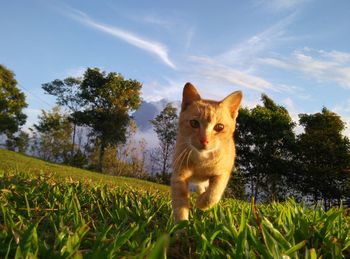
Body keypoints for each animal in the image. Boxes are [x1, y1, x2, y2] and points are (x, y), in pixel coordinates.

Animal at [171, 82, 242, 222]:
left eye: (219, 127)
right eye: (194, 123)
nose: (204, 140)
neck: (202, 160)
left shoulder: (222, 173)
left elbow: (213, 194)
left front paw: (201, 203)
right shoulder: (179, 175)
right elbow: (180, 204)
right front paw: (181, 225)